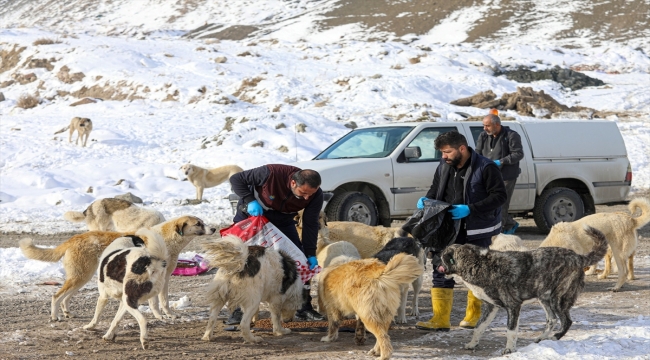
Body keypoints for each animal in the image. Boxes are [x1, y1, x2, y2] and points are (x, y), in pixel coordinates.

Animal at [17, 215, 214, 322]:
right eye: (198, 223)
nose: (213, 229)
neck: (167, 239)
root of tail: (73, 238)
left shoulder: (164, 279)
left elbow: (163, 300)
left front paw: (167, 315)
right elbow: (157, 302)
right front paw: (161, 316)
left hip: (82, 277)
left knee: (65, 297)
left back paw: (67, 313)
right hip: (80, 276)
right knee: (56, 296)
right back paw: (54, 316)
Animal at [436, 226, 608, 352]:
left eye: (443, 256)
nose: (433, 257)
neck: (478, 262)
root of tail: (578, 257)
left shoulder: (513, 306)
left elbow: (510, 330)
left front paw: (509, 350)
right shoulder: (491, 307)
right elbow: (479, 327)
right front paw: (472, 344)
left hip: (558, 299)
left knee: (566, 321)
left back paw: (554, 337)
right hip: (544, 297)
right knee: (552, 319)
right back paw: (542, 338)